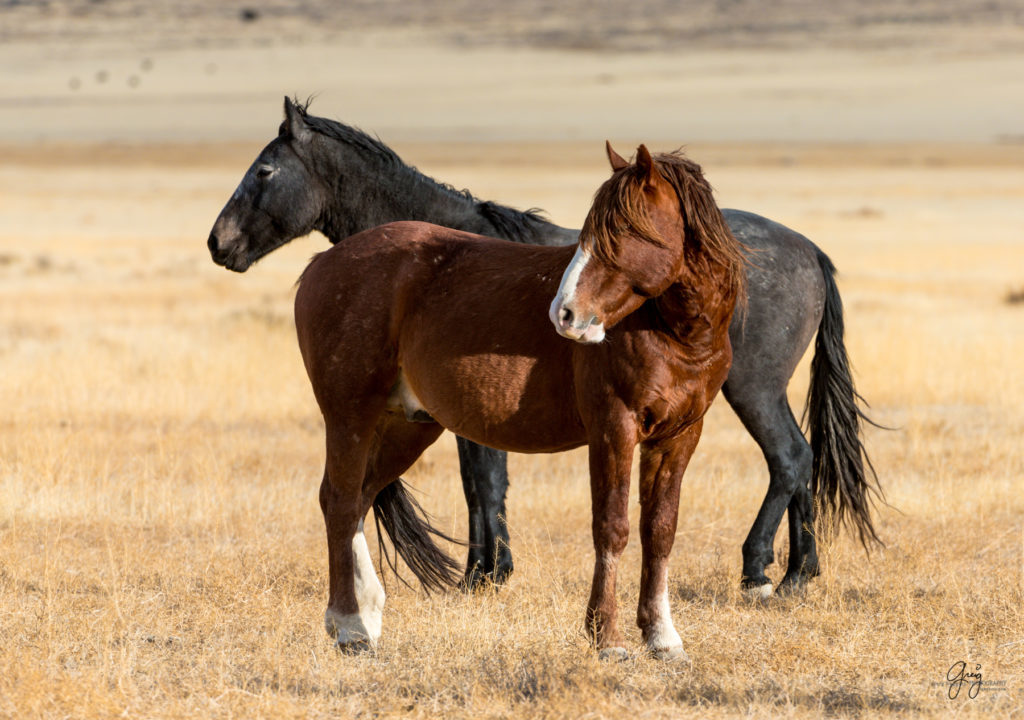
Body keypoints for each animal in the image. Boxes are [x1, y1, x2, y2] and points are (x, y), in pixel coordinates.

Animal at [207, 99, 880, 598]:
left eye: (263, 172)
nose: (219, 243)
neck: (432, 262)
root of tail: (809, 250)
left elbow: (484, 481)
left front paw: (484, 575)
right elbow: (482, 481)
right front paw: (486, 570)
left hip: (751, 387)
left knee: (789, 457)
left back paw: (763, 569)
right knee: (804, 460)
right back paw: (801, 572)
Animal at [292, 143, 749, 663]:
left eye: (627, 231)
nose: (565, 314)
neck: (675, 335)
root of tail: (323, 263)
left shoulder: (679, 437)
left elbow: (660, 531)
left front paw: (662, 637)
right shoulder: (614, 429)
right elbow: (612, 527)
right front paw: (607, 639)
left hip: (407, 425)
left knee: (360, 499)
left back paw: (366, 617)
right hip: (350, 414)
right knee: (342, 501)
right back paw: (349, 625)